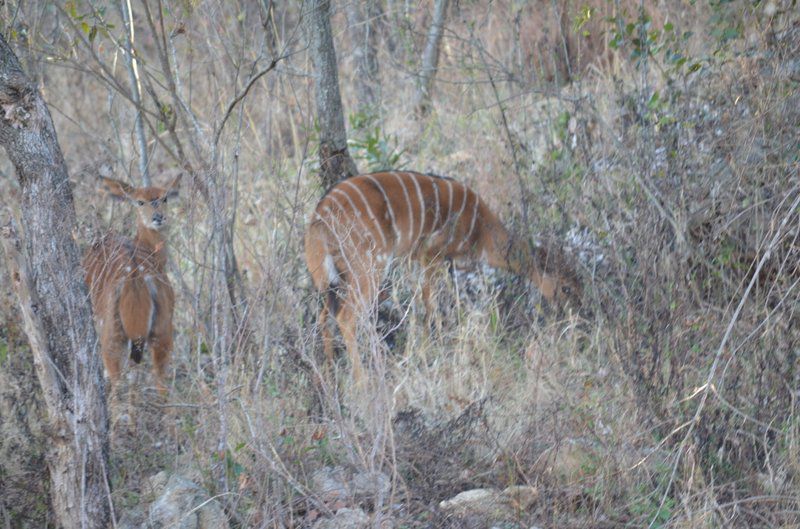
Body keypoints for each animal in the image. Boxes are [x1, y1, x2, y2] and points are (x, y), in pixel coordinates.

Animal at [86, 175, 183, 394]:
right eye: (140, 202)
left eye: (164, 198)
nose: (158, 217)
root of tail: (135, 280)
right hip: (158, 329)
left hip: (117, 333)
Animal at [304, 169, 580, 380]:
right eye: (565, 287)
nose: (576, 312)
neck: (481, 230)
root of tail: (320, 215)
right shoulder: (431, 255)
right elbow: (430, 304)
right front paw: (434, 350)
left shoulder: (426, 262)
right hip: (368, 267)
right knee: (345, 316)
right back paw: (362, 382)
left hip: (338, 277)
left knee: (324, 316)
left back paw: (328, 375)